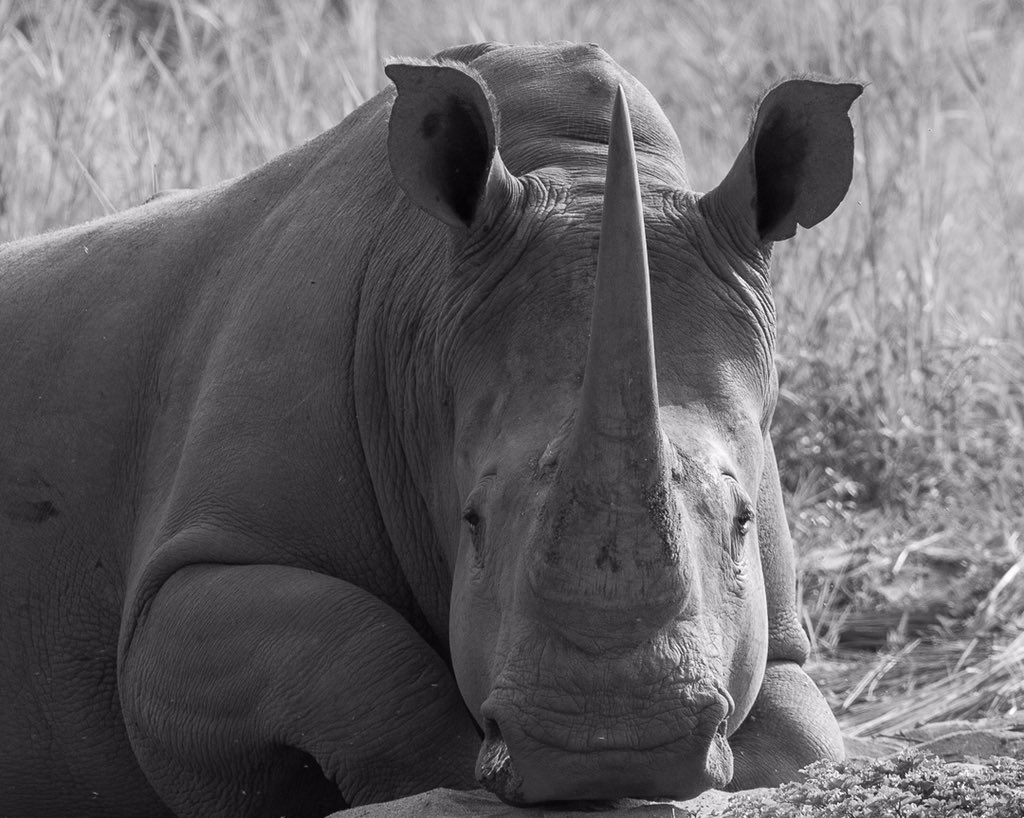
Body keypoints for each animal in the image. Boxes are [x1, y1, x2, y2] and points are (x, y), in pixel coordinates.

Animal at [0, 42, 861, 816]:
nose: (611, 746)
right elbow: (361, 663)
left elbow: (803, 738)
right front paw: (459, 767)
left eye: (743, 520)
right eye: (471, 520)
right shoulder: (186, 581)